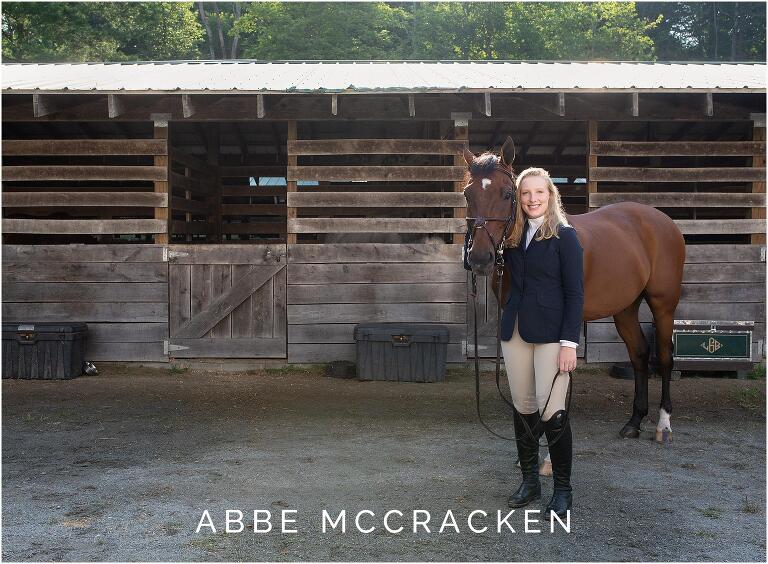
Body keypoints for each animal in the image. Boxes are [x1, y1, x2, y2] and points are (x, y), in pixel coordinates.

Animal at [462, 137, 685, 442]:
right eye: (467, 195)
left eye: (507, 194)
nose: (479, 258)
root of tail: (665, 222)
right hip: (625, 308)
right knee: (639, 353)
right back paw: (634, 421)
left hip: (663, 305)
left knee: (664, 358)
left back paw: (664, 423)